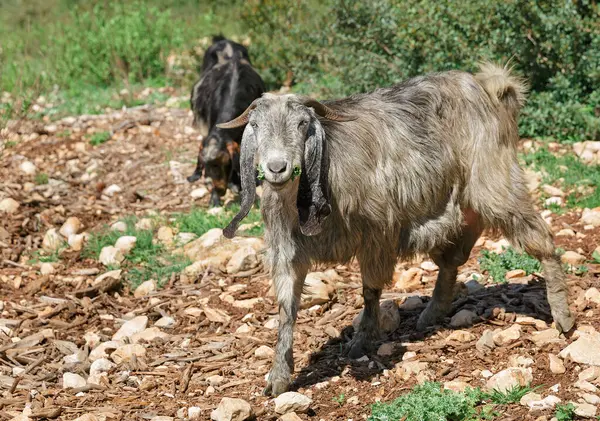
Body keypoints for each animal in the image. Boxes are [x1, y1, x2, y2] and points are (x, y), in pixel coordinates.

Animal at [217, 61, 576, 394]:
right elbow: (286, 309)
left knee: (541, 239)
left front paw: (361, 342)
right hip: (458, 207)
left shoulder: (377, 235)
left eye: (303, 124)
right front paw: (278, 376)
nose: (277, 168)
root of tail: (487, 87)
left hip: (495, 180)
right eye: (256, 125)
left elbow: (370, 291)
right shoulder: (287, 251)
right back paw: (431, 315)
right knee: (453, 259)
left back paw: (563, 315)